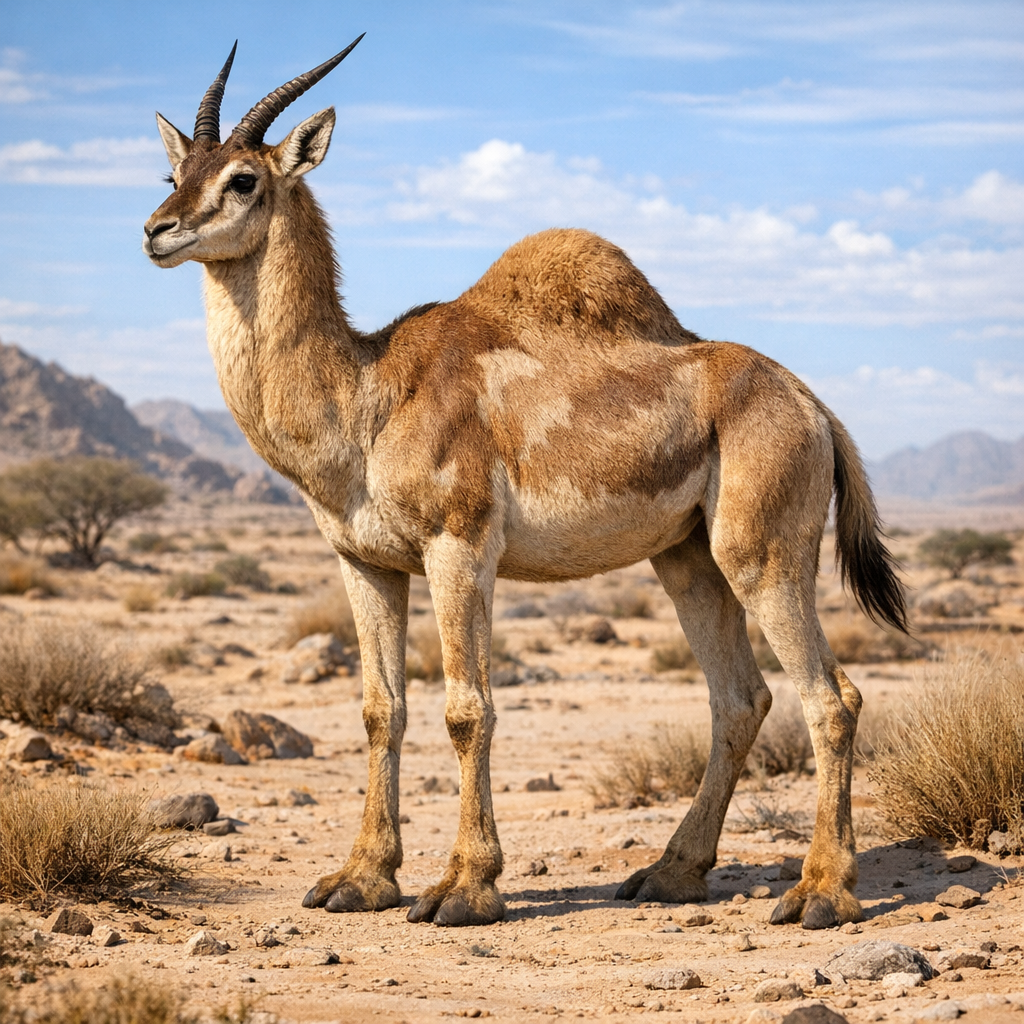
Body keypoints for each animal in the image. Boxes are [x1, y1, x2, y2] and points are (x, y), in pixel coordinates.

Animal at [143, 38, 907, 930]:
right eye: (175, 171)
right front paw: (359, 879)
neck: (368, 394)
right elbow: (380, 710)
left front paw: (464, 887)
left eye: (243, 179)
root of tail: (813, 406)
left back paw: (820, 893)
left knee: (832, 698)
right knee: (741, 699)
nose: (157, 230)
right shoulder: (366, 564)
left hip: (763, 556)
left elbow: (466, 709)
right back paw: (671, 873)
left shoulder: (460, 549)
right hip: (687, 560)